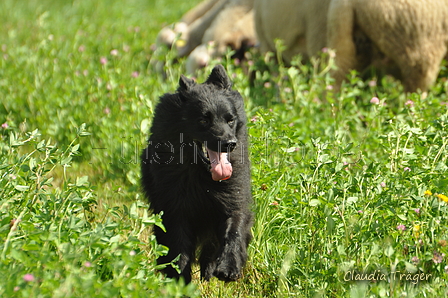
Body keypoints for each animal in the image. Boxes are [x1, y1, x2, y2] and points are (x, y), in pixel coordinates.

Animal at [141, 64, 252, 282]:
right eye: (203, 120)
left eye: (230, 120)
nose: (230, 143)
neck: (203, 175)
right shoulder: (174, 210)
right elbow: (178, 250)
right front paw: (179, 281)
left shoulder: (233, 198)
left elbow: (234, 230)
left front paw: (228, 266)